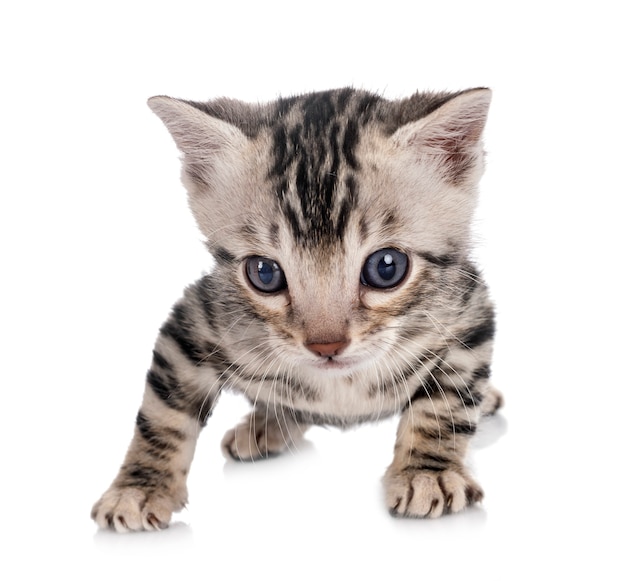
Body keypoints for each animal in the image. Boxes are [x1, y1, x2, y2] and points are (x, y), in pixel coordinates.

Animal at [91, 85, 502, 532]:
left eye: (386, 267)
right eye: (264, 273)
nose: (326, 346)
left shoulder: (469, 312)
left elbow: (448, 399)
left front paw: (427, 473)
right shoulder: (194, 321)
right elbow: (160, 414)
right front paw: (140, 486)